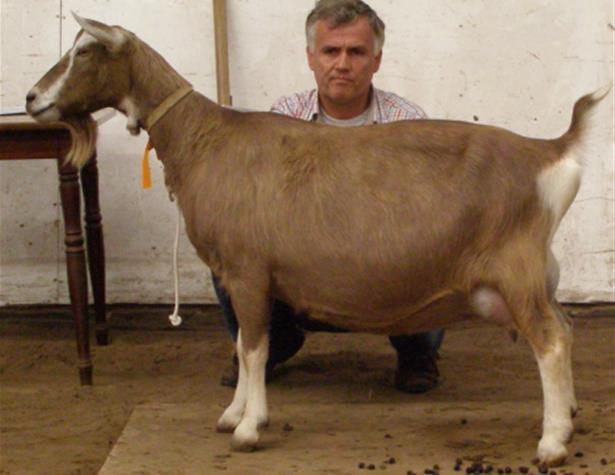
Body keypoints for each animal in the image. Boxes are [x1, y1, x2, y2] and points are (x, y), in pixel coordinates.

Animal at [25, 13, 612, 466]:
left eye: (85, 51)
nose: (31, 98)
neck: (205, 138)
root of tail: (548, 150)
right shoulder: (238, 275)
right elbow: (245, 344)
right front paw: (232, 414)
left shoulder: (247, 269)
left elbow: (254, 347)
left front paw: (249, 428)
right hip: (538, 273)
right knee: (565, 328)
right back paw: (570, 418)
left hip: (515, 271)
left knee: (550, 342)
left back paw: (552, 443)